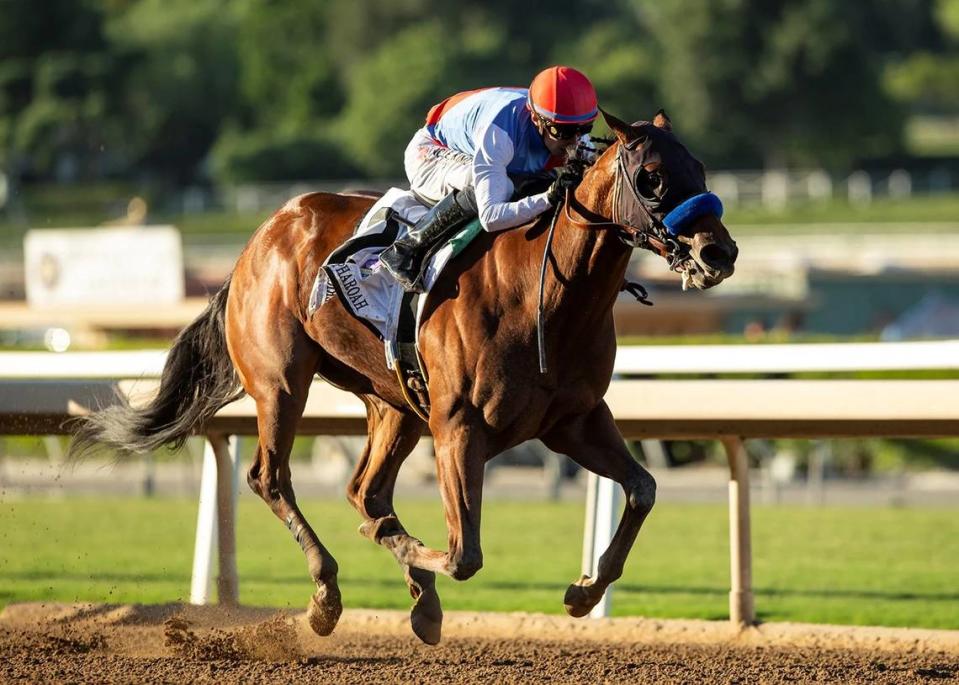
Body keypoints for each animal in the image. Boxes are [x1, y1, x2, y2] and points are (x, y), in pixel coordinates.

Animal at [71, 109, 740, 644]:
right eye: (651, 176)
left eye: (702, 168)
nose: (719, 253)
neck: (545, 294)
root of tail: (256, 242)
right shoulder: (458, 427)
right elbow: (464, 553)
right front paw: (417, 556)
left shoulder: (573, 420)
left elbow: (643, 488)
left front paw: (583, 592)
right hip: (282, 383)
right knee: (272, 478)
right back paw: (328, 597)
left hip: (393, 403)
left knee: (365, 490)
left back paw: (413, 596)